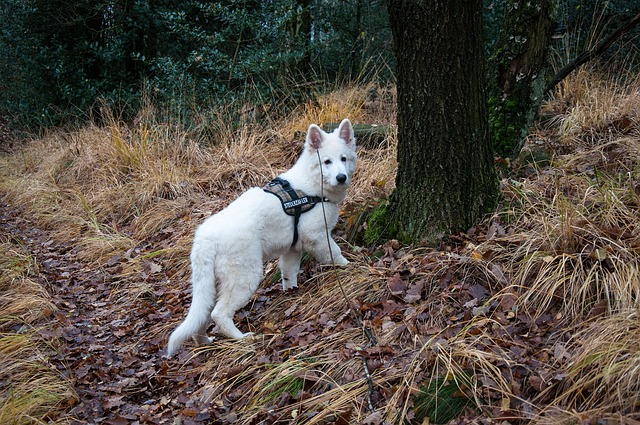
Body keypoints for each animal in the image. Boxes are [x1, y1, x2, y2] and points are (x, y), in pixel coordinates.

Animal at [168, 118, 358, 354]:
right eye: (327, 162)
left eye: (344, 159)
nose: (341, 178)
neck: (313, 186)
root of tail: (204, 240)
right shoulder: (317, 236)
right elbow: (336, 252)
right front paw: (351, 266)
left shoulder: (292, 249)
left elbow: (289, 274)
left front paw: (291, 292)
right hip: (245, 276)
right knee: (218, 313)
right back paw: (242, 339)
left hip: (210, 283)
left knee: (201, 315)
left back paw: (203, 341)